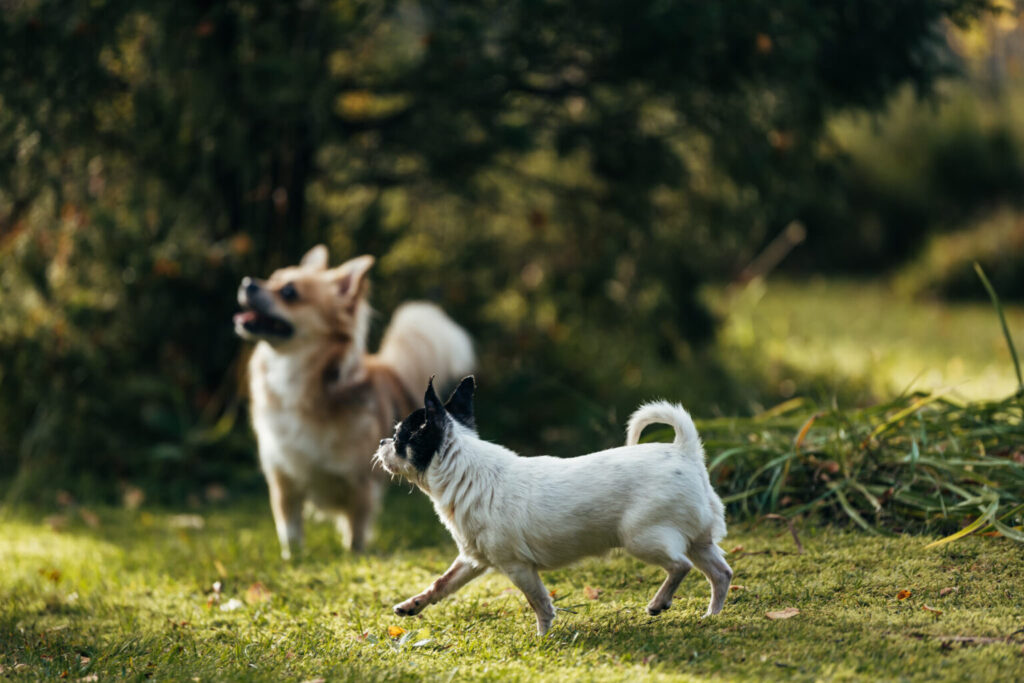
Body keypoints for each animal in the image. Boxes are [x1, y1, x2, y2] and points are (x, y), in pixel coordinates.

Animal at [234, 248, 473, 557]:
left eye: (289, 292)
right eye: (271, 278)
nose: (247, 282)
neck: (296, 377)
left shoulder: (361, 484)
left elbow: (355, 532)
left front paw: (353, 557)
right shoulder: (284, 480)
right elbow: (290, 529)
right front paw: (292, 560)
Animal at [374, 376, 729, 634]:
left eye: (399, 438)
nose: (381, 441)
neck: (465, 471)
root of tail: (684, 451)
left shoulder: (518, 567)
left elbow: (539, 602)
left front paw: (542, 636)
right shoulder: (472, 560)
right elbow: (441, 583)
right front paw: (412, 605)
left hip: (641, 538)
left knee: (681, 565)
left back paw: (659, 603)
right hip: (699, 541)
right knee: (721, 573)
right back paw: (712, 615)